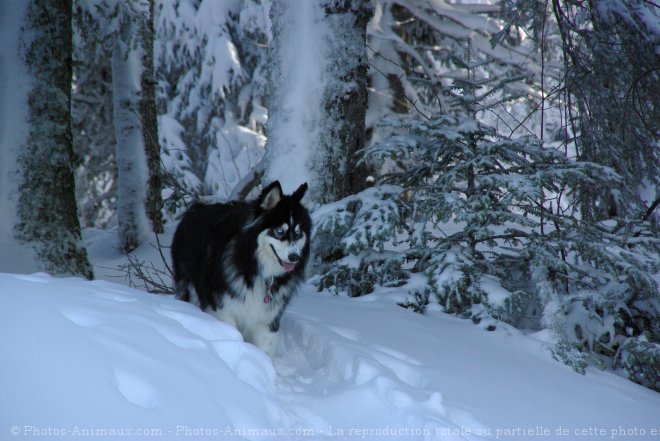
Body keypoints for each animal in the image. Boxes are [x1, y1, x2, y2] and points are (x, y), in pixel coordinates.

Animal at [173, 180, 312, 356]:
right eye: (279, 231)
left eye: (298, 233)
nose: (295, 257)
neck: (254, 265)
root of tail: (198, 206)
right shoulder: (224, 310)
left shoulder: (266, 320)